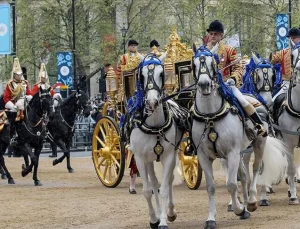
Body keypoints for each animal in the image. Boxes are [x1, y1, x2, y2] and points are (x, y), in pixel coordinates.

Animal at [129, 54, 182, 228]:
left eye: (161, 74)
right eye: (142, 75)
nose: (152, 102)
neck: (154, 126)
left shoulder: (169, 156)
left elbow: (164, 188)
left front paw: (164, 220)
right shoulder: (139, 158)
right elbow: (147, 190)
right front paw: (154, 219)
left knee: (168, 181)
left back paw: (170, 212)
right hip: (149, 160)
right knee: (153, 183)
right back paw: (158, 214)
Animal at [192, 43, 286, 228]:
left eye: (212, 63)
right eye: (195, 64)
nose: (204, 84)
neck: (210, 115)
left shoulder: (233, 153)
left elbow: (231, 184)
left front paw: (239, 209)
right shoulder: (204, 155)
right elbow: (211, 187)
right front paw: (211, 218)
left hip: (258, 144)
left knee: (255, 169)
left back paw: (252, 200)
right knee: (243, 175)